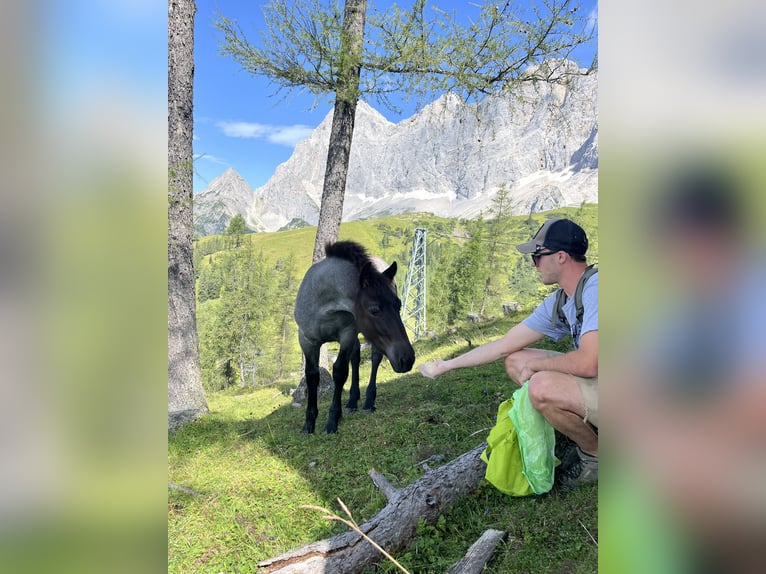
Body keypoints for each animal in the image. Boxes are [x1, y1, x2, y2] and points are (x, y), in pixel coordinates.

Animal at [294, 241, 414, 434]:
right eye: (374, 309)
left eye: (399, 305)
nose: (407, 358)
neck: (323, 303)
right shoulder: (306, 340)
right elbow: (312, 376)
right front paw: (309, 424)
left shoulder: (347, 334)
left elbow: (340, 371)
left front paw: (332, 420)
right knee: (356, 357)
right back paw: (351, 402)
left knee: (375, 358)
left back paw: (368, 401)